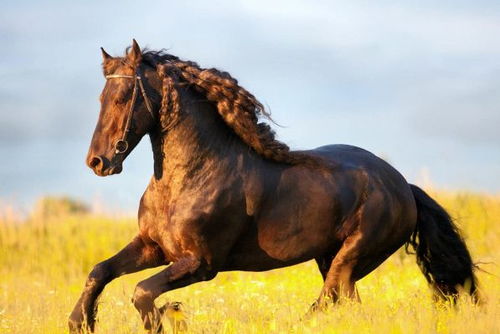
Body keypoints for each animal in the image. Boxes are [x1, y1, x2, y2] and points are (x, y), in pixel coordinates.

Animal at [68, 40, 478, 332]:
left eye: (123, 97)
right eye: (101, 98)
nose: (97, 162)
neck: (187, 179)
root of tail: (403, 185)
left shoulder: (201, 263)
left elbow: (142, 292)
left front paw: (169, 314)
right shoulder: (154, 247)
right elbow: (100, 271)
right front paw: (80, 322)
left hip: (352, 256)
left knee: (328, 300)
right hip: (331, 258)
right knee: (345, 304)